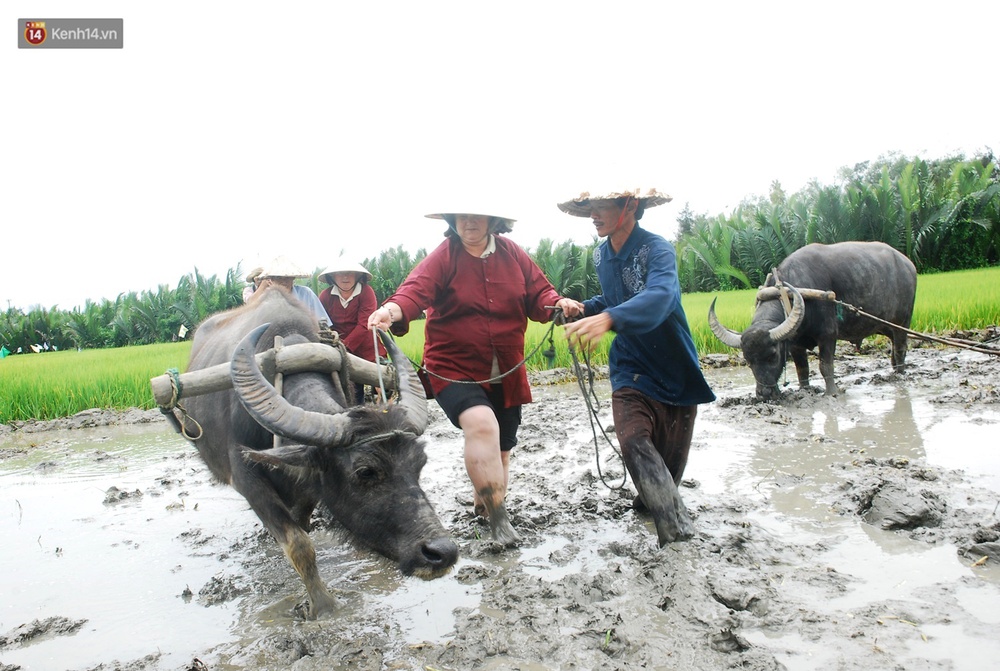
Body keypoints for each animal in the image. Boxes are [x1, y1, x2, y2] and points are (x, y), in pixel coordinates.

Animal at [169, 286, 458, 616]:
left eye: (419, 463)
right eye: (365, 471)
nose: (443, 551)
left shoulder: (309, 486)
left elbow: (303, 526)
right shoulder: (246, 478)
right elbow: (299, 544)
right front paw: (323, 605)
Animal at [712, 242, 916, 400]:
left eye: (773, 356)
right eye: (748, 360)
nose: (764, 395)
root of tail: (908, 264)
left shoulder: (828, 335)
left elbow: (825, 366)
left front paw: (831, 392)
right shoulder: (794, 343)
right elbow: (802, 369)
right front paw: (805, 389)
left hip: (902, 321)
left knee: (900, 347)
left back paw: (900, 374)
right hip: (885, 325)